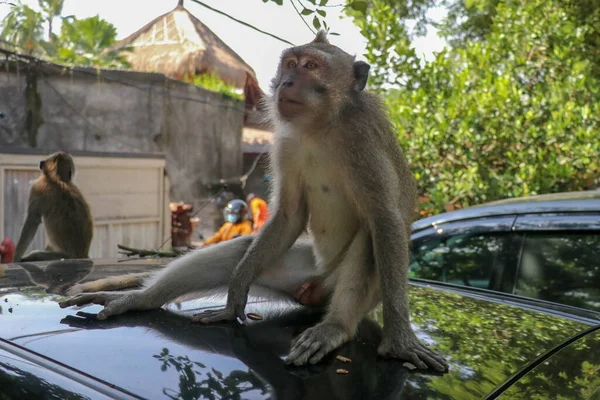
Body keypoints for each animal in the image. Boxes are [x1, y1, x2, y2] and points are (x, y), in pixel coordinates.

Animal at [59, 31, 446, 372]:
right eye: (290, 64)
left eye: (310, 66)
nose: (286, 83)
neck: (320, 128)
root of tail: (316, 290)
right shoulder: (285, 145)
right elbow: (288, 216)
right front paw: (234, 296)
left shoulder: (362, 140)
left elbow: (384, 219)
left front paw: (400, 341)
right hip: (297, 272)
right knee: (240, 250)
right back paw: (144, 300)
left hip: (357, 289)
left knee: (369, 237)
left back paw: (334, 327)